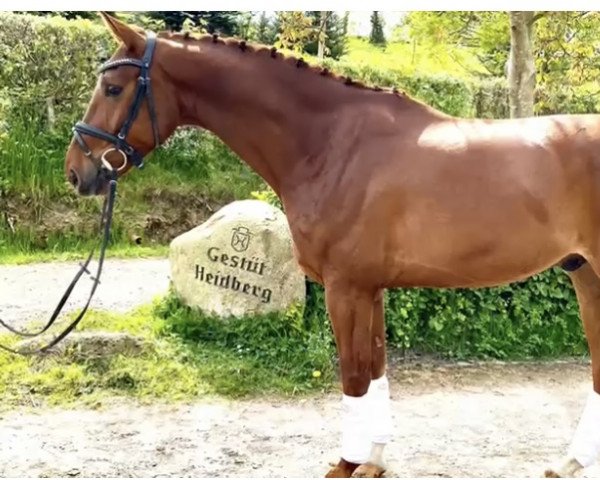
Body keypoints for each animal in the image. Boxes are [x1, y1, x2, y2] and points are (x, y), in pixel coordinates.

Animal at [65, 13, 600, 478]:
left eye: (113, 88)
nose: (76, 171)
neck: (331, 144)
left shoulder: (347, 288)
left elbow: (354, 377)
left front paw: (347, 462)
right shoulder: (372, 289)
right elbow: (376, 369)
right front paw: (374, 460)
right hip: (584, 273)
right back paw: (568, 463)